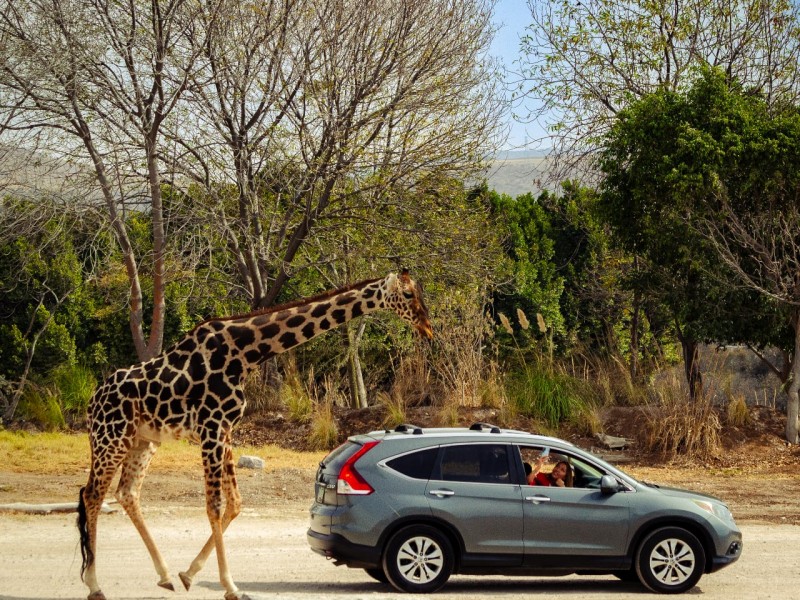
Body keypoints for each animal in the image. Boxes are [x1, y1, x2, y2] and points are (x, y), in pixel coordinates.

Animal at [76, 272, 432, 600]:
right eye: (408, 294)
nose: (427, 328)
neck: (245, 353)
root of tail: (92, 400)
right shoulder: (211, 427)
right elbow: (215, 505)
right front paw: (231, 587)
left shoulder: (226, 429)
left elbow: (235, 503)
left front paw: (189, 574)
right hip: (111, 436)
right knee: (92, 494)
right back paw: (95, 585)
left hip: (143, 440)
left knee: (127, 493)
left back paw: (163, 576)